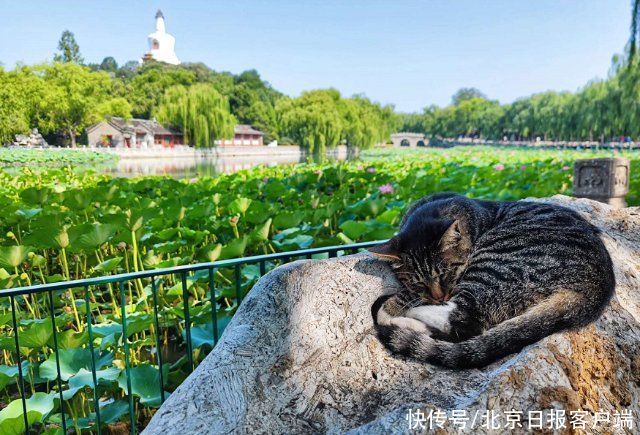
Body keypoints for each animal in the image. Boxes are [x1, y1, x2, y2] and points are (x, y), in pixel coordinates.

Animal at [370, 194, 616, 368]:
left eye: (447, 273)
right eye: (418, 282)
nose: (439, 296)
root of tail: (597, 287)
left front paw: (391, 307)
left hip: (494, 263)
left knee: (464, 321)